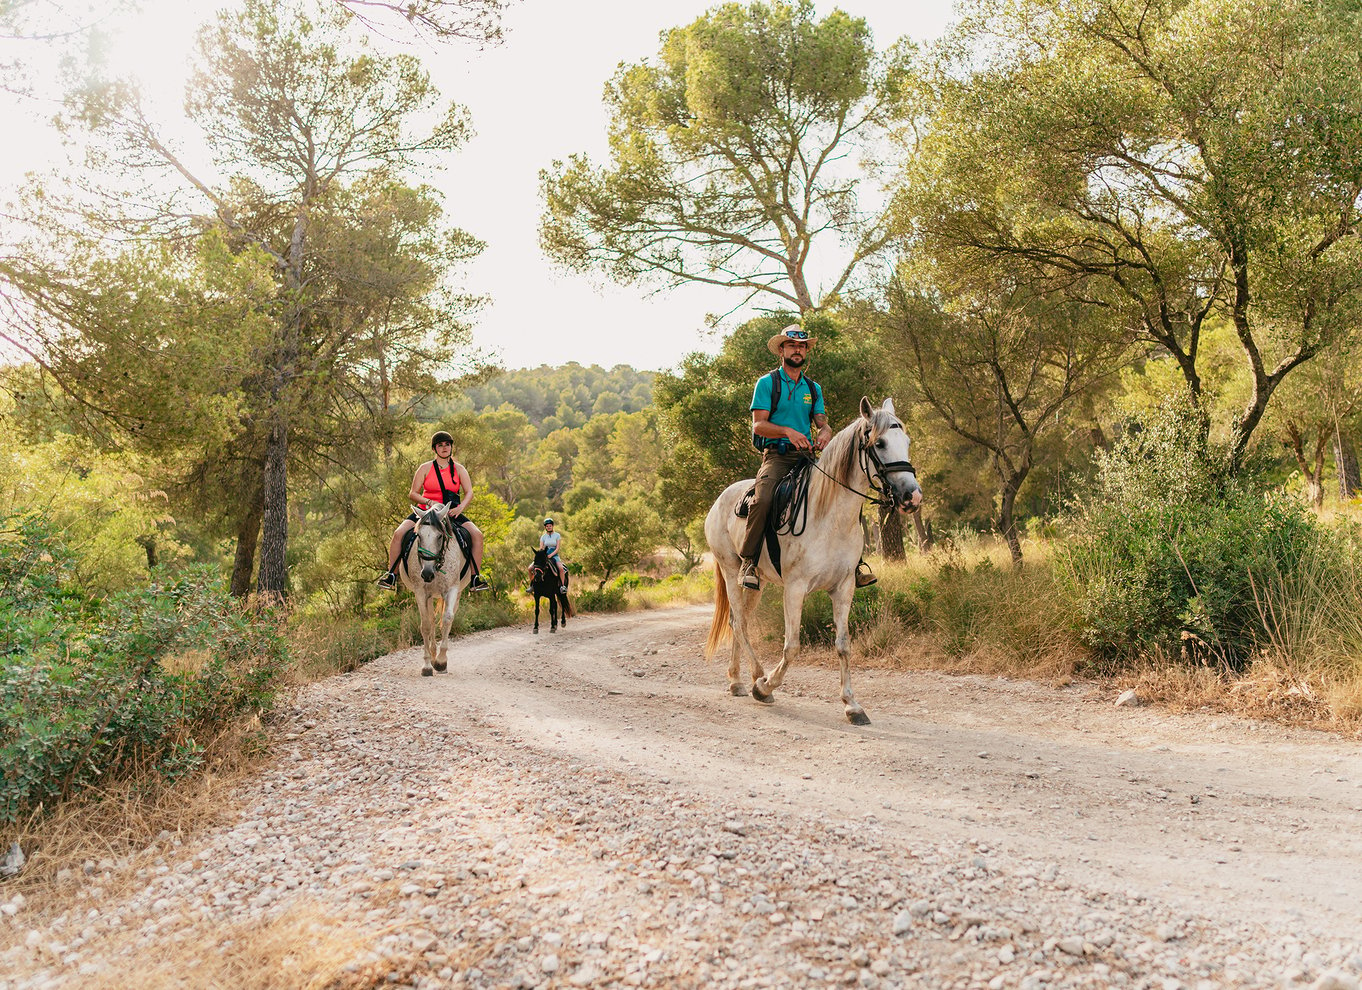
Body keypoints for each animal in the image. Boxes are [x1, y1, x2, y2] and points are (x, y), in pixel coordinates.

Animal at [397, 506, 471, 678]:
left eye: (440, 536)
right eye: (418, 535)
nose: (427, 574)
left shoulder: (452, 589)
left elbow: (447, 619)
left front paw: (441, 662)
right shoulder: (420, 592)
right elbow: (425, 625)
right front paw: (427, 665)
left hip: (457, 593)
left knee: (446, 618)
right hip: (429, 596)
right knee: (430, 620)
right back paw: (432, 656)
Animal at [702, 397, 926, 729]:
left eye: (907, 442)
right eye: (880, 443)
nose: (912, 497)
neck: (830, 515)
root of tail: (719, 500)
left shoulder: (844, 587)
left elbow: (843, 645)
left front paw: (852, 706)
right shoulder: (795, 589)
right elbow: (792, 645)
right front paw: (766, 687)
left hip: (755, 582)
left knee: (737, 621)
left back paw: (737, 680)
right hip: (730, 570)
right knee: (740, 623)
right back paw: (756, 678)